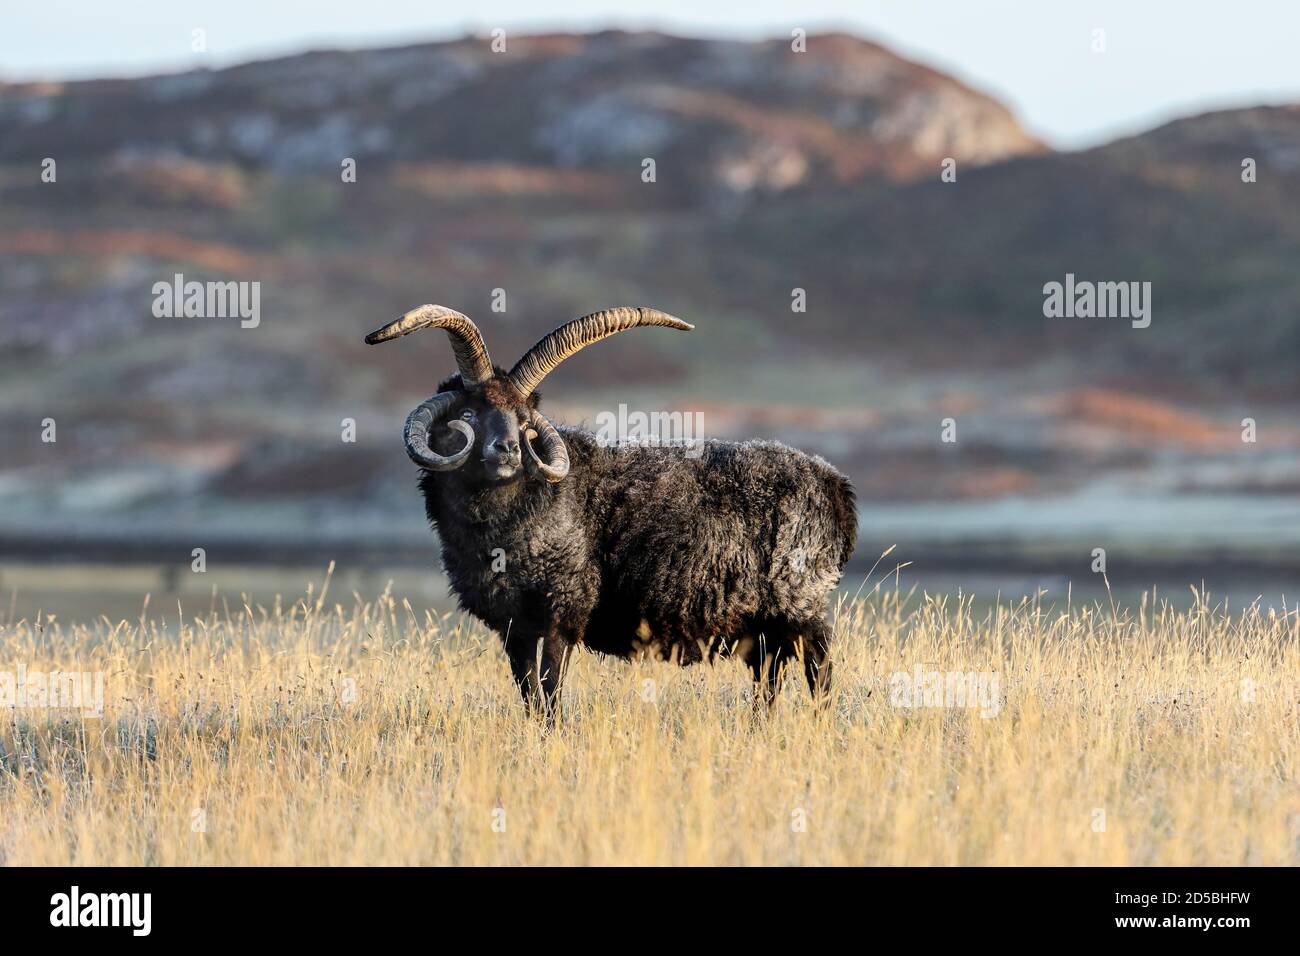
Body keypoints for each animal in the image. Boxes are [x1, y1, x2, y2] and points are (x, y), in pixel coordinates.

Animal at [366, 304, 857, 717]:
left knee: (819, 673)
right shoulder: (513, 626)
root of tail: (835, 484)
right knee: (769, 682)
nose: (507, 449)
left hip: (802, 605)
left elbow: (550, 689)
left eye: (525, 421)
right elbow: (529, 694)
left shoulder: (565, 609)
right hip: (763, 624)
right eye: (468, 412)